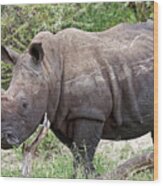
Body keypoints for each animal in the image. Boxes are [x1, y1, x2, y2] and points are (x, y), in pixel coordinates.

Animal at [1, 21, 154, 177]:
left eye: (24, 104)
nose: (4, 138)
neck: (49, 69)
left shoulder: (90, 113)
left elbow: (84, 149)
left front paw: (91, 177)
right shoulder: (60, 116)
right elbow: (75, 151)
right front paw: (81, 176)